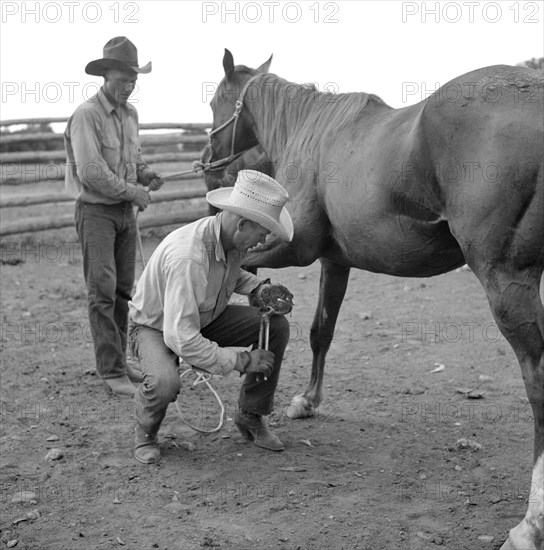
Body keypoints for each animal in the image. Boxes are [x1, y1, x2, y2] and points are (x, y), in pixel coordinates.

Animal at [202, 49, 544, 548]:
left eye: (216, 102)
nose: (208, 161)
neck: (314, 133)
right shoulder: (334, 261)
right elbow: (321, 331)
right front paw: (307, 400)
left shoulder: (293, 249)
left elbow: (246, 270)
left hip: (507, 283)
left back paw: (530, 522)